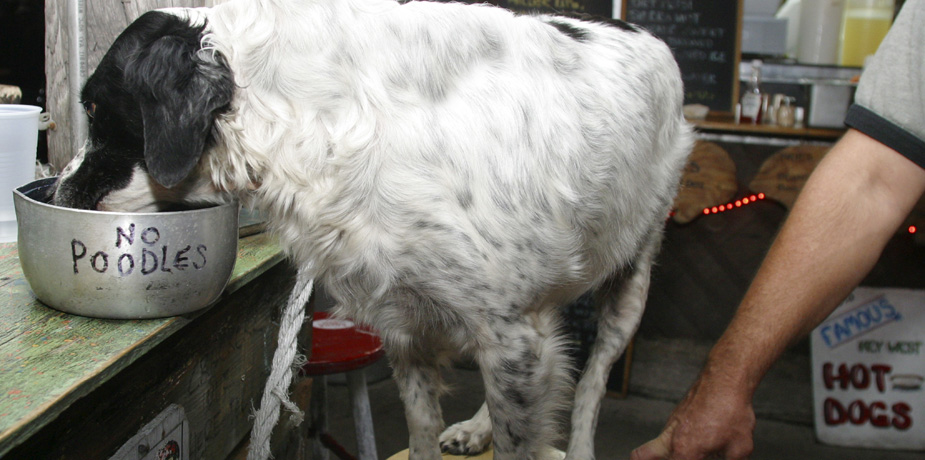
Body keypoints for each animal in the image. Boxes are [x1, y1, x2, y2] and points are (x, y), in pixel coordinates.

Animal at [54, 1, 688, 458]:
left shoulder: (507, 330)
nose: (59, 192)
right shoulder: (411, 328)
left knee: (593, 382)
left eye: (96, 109)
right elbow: (423, 432)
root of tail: (640, 28)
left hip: (630, 281)